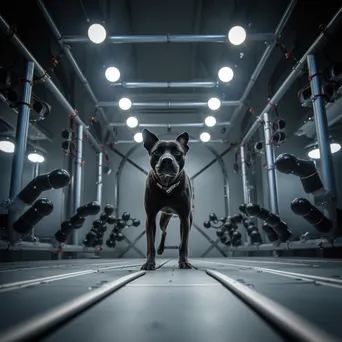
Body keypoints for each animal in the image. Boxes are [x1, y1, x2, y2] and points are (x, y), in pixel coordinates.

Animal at [140, 129, 192, 270]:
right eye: (157, 152)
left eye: (177, 152)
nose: (167, 160)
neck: (167, 186)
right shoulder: (150, 217)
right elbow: (150, 244)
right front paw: (149, 263)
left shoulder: (184, 217)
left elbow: (184, 244)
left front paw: (184, 262)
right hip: (163, 219)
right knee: (164, 232)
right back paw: (160, 249)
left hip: (188, 220)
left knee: (181, 238)